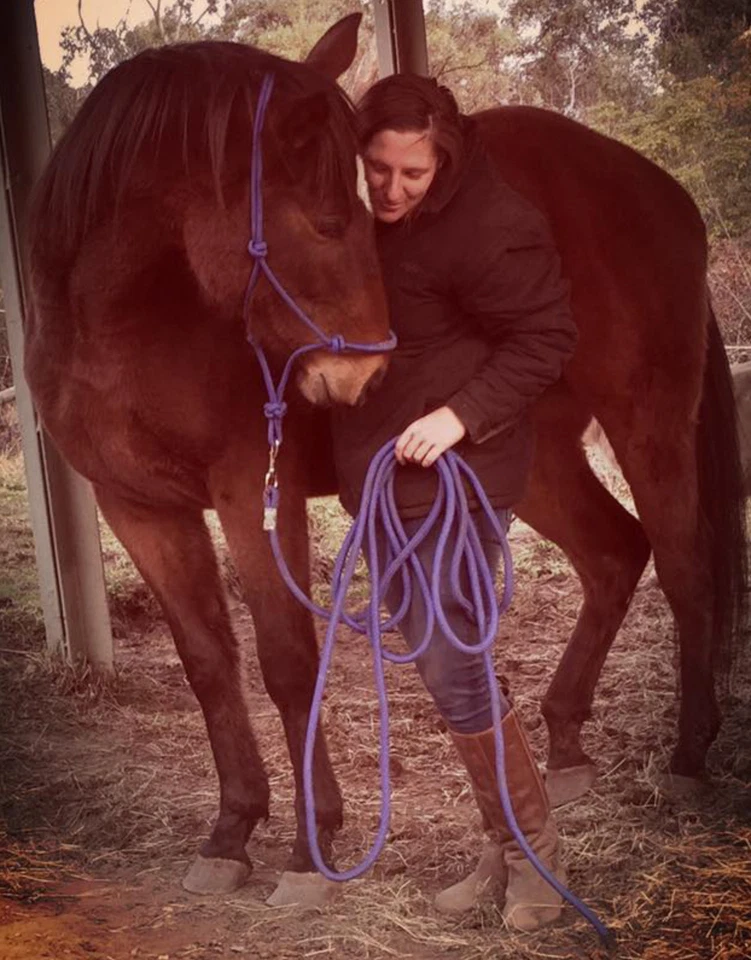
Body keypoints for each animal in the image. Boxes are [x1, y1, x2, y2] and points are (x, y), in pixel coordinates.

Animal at [24, 15, 392, 906]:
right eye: (328, 223)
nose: (364, 378)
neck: (129, 327)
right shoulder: (138, 507)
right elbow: (207, 660)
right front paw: (232, 832)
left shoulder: (253, 493)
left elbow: (287, 660)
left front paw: (309, 848)